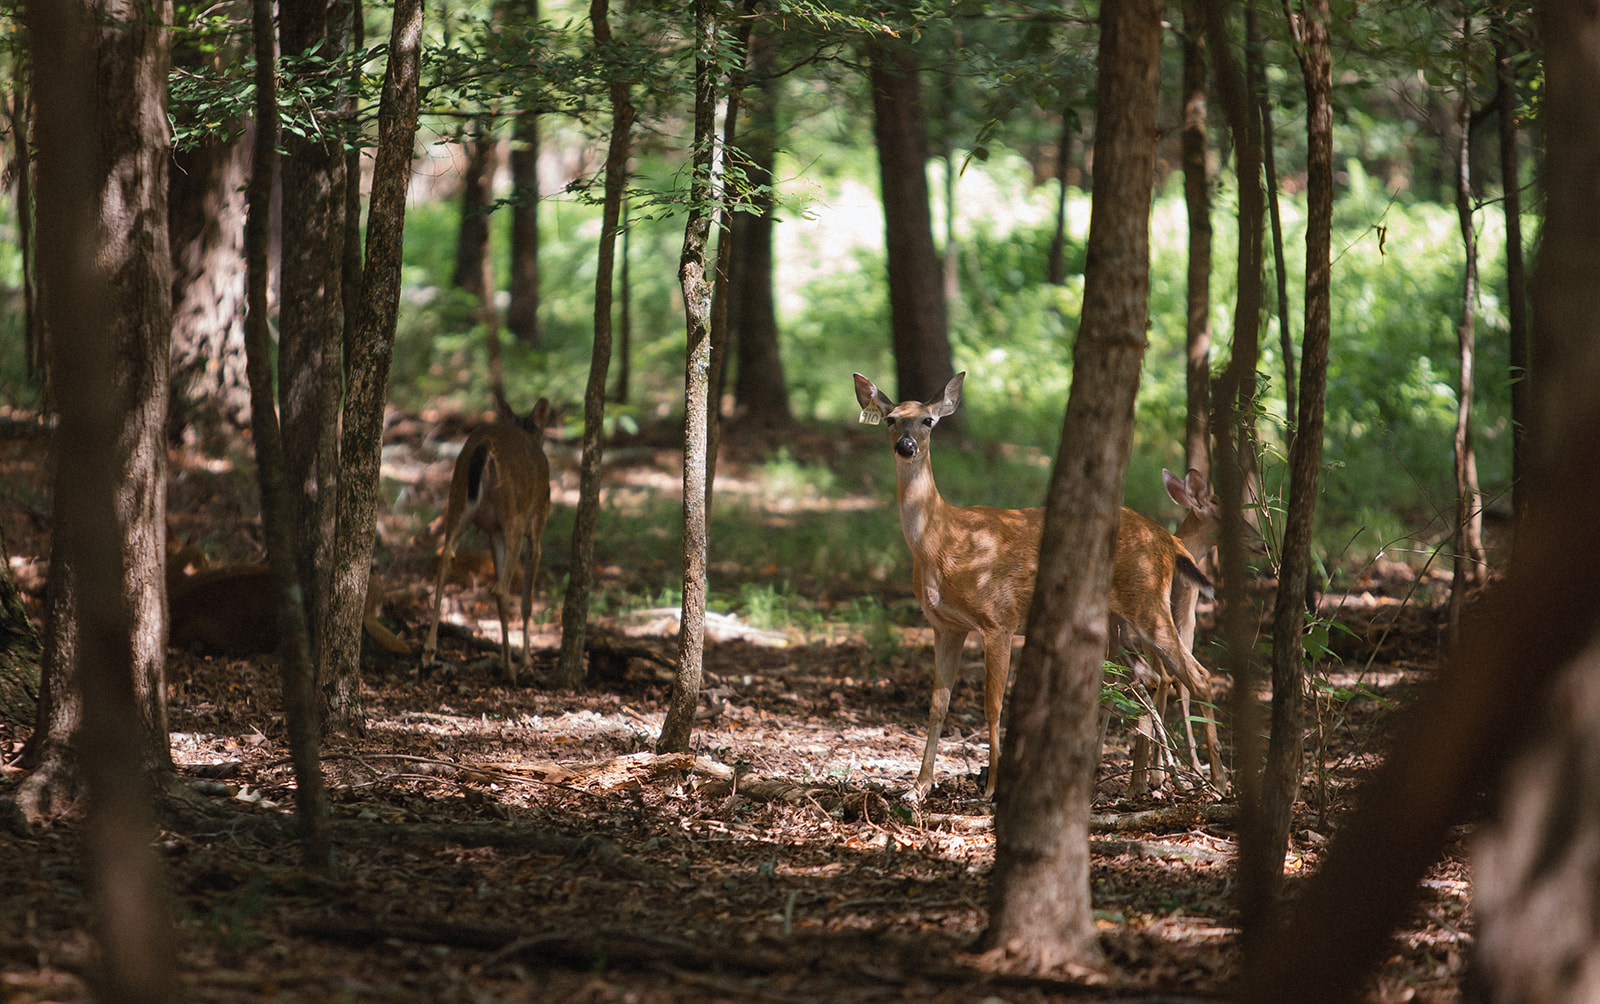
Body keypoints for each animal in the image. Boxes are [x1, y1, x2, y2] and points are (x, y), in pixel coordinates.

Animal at [422, 391, 553, 681]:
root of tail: (487, 444)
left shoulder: (494, 531)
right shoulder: (537, 523)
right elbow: (527, 601)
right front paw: (526, 661)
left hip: (458, 500)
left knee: (445, 559)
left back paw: (428, 653)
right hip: (515, 515)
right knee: (501, 589)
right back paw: (510, 670)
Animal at [857, 372, 1216, 802]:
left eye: (927, 420)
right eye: (891, 419)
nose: (906, 446)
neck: (943, 542)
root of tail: (1168, 539)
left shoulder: (998, 619)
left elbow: (993, 704)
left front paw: (991, 788)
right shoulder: (945, 626)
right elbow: (937, 705)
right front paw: (918, 787)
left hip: (1147, 600)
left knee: (1196, 675)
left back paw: (1214, 784)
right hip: (1120, 618)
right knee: (1154, 677)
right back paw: (1143, 782)